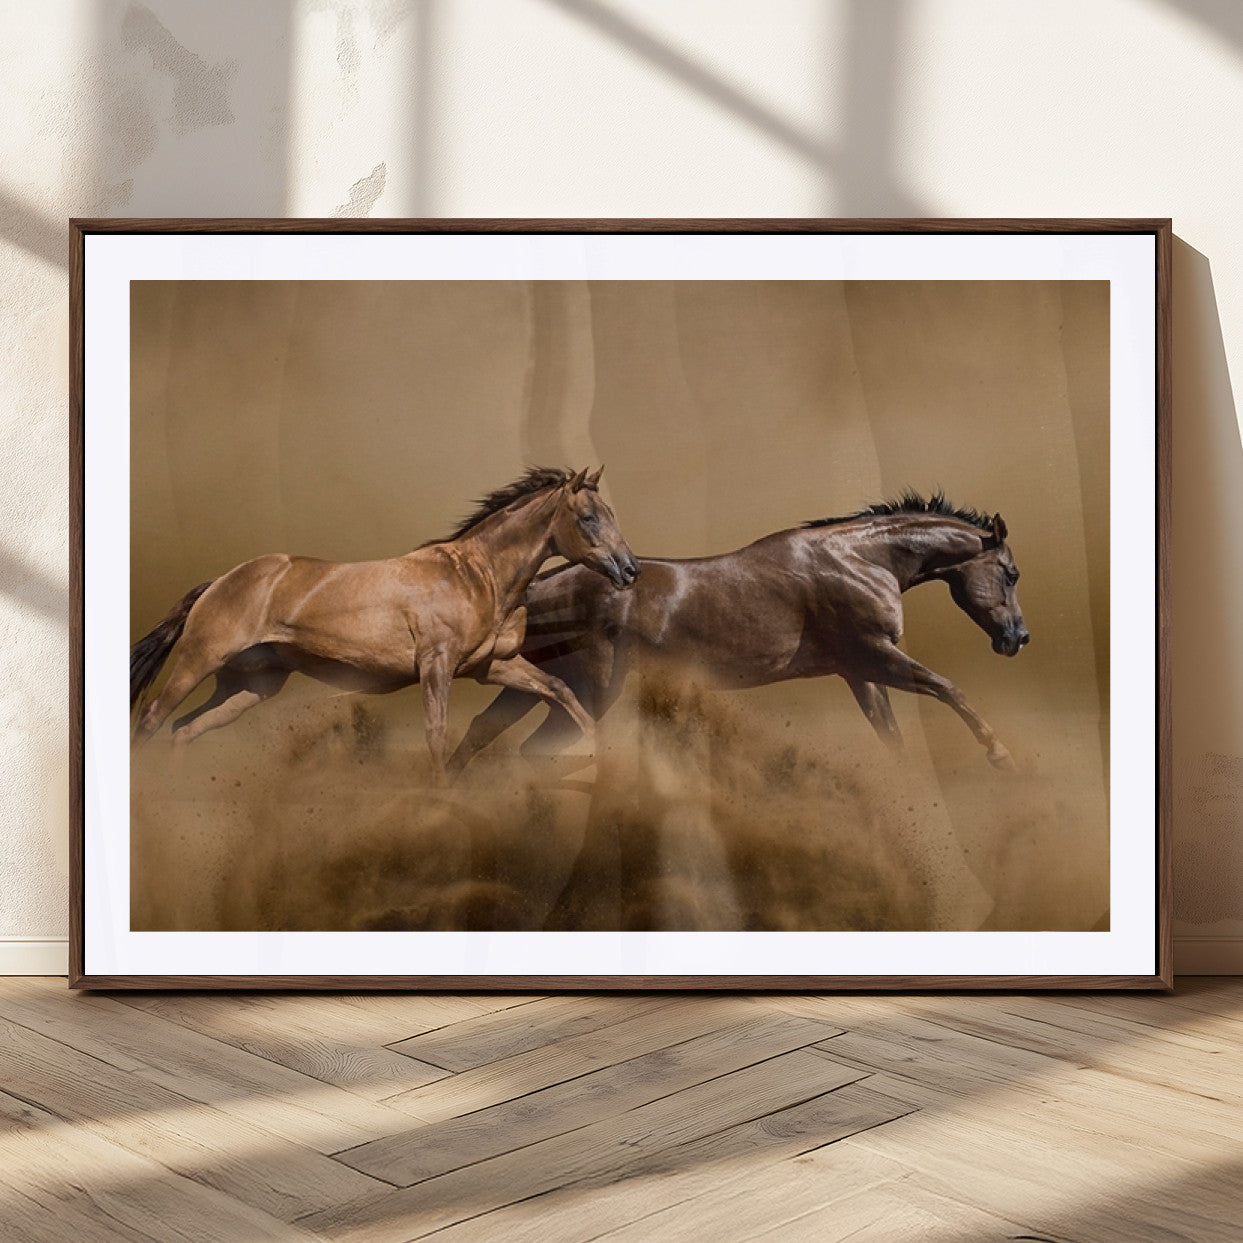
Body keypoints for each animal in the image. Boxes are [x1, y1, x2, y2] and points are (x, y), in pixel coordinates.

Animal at [130, 466, 640, 784]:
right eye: (588, 518)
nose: (630, 569)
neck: (478, 576)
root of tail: (219, 581)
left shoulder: (491, 666)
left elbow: (560, 690)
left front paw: (602, 757)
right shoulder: (436, 665)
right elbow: (436, 732)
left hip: (249, 686)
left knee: (185, 729)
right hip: (198, 661)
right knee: (151, 719)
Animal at [448, 492, 1029, 775]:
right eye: (1011, 573)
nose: (1017, 638)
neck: (860, 560)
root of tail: (537, 586)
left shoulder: (860, 671)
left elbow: (891, 735)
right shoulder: (874, 656)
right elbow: (948, 688)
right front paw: (1000, 754)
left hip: (541, 684)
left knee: (479, 732)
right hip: (591, 689)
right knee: (534, 750)